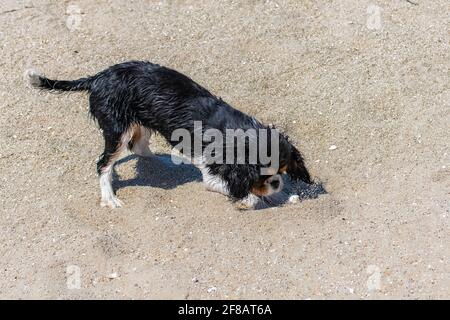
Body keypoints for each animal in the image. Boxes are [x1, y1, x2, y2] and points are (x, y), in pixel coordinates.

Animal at [26, 61, 312, 209]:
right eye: (259, 175)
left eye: (283, 171)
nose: (276, 182)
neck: (236, 132)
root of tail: (97, 77)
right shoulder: (212, 173)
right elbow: (242, 194)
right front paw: (253, 198)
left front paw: (284, 194)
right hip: (118, 129)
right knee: (103, 163)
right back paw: (109, 197)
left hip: (142, 121)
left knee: (139, 147)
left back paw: (168, 161)